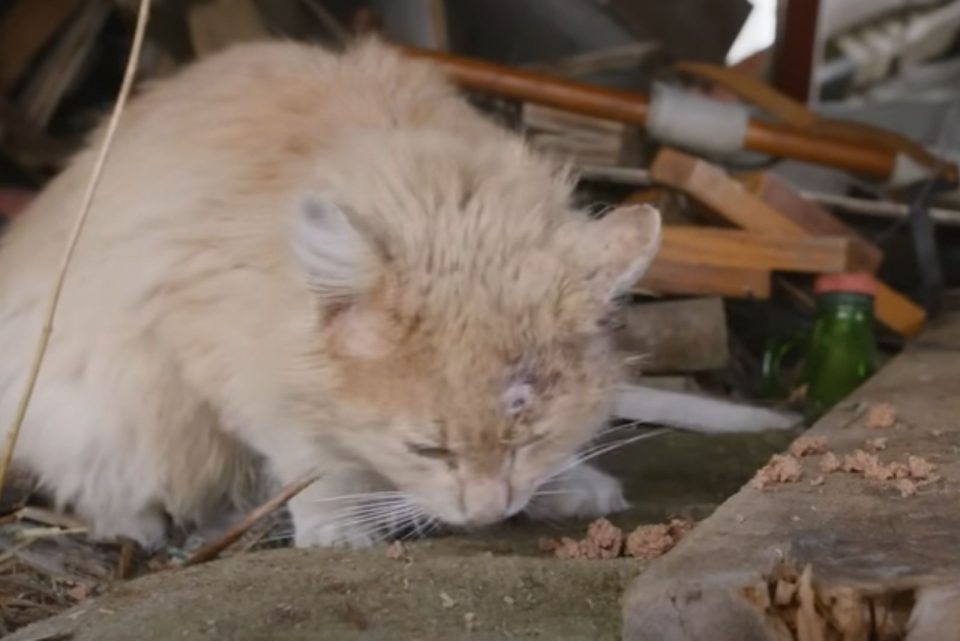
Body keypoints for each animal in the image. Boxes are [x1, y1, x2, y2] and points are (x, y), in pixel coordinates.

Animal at [0, 37, 660, 548]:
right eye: (427, 451)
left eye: (530, 438)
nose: (487, 515)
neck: (436, 193)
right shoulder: (248, 379)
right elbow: (318, 468)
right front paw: (338, 532)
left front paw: (573, 483)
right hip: (104, 412)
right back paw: (136, 529)